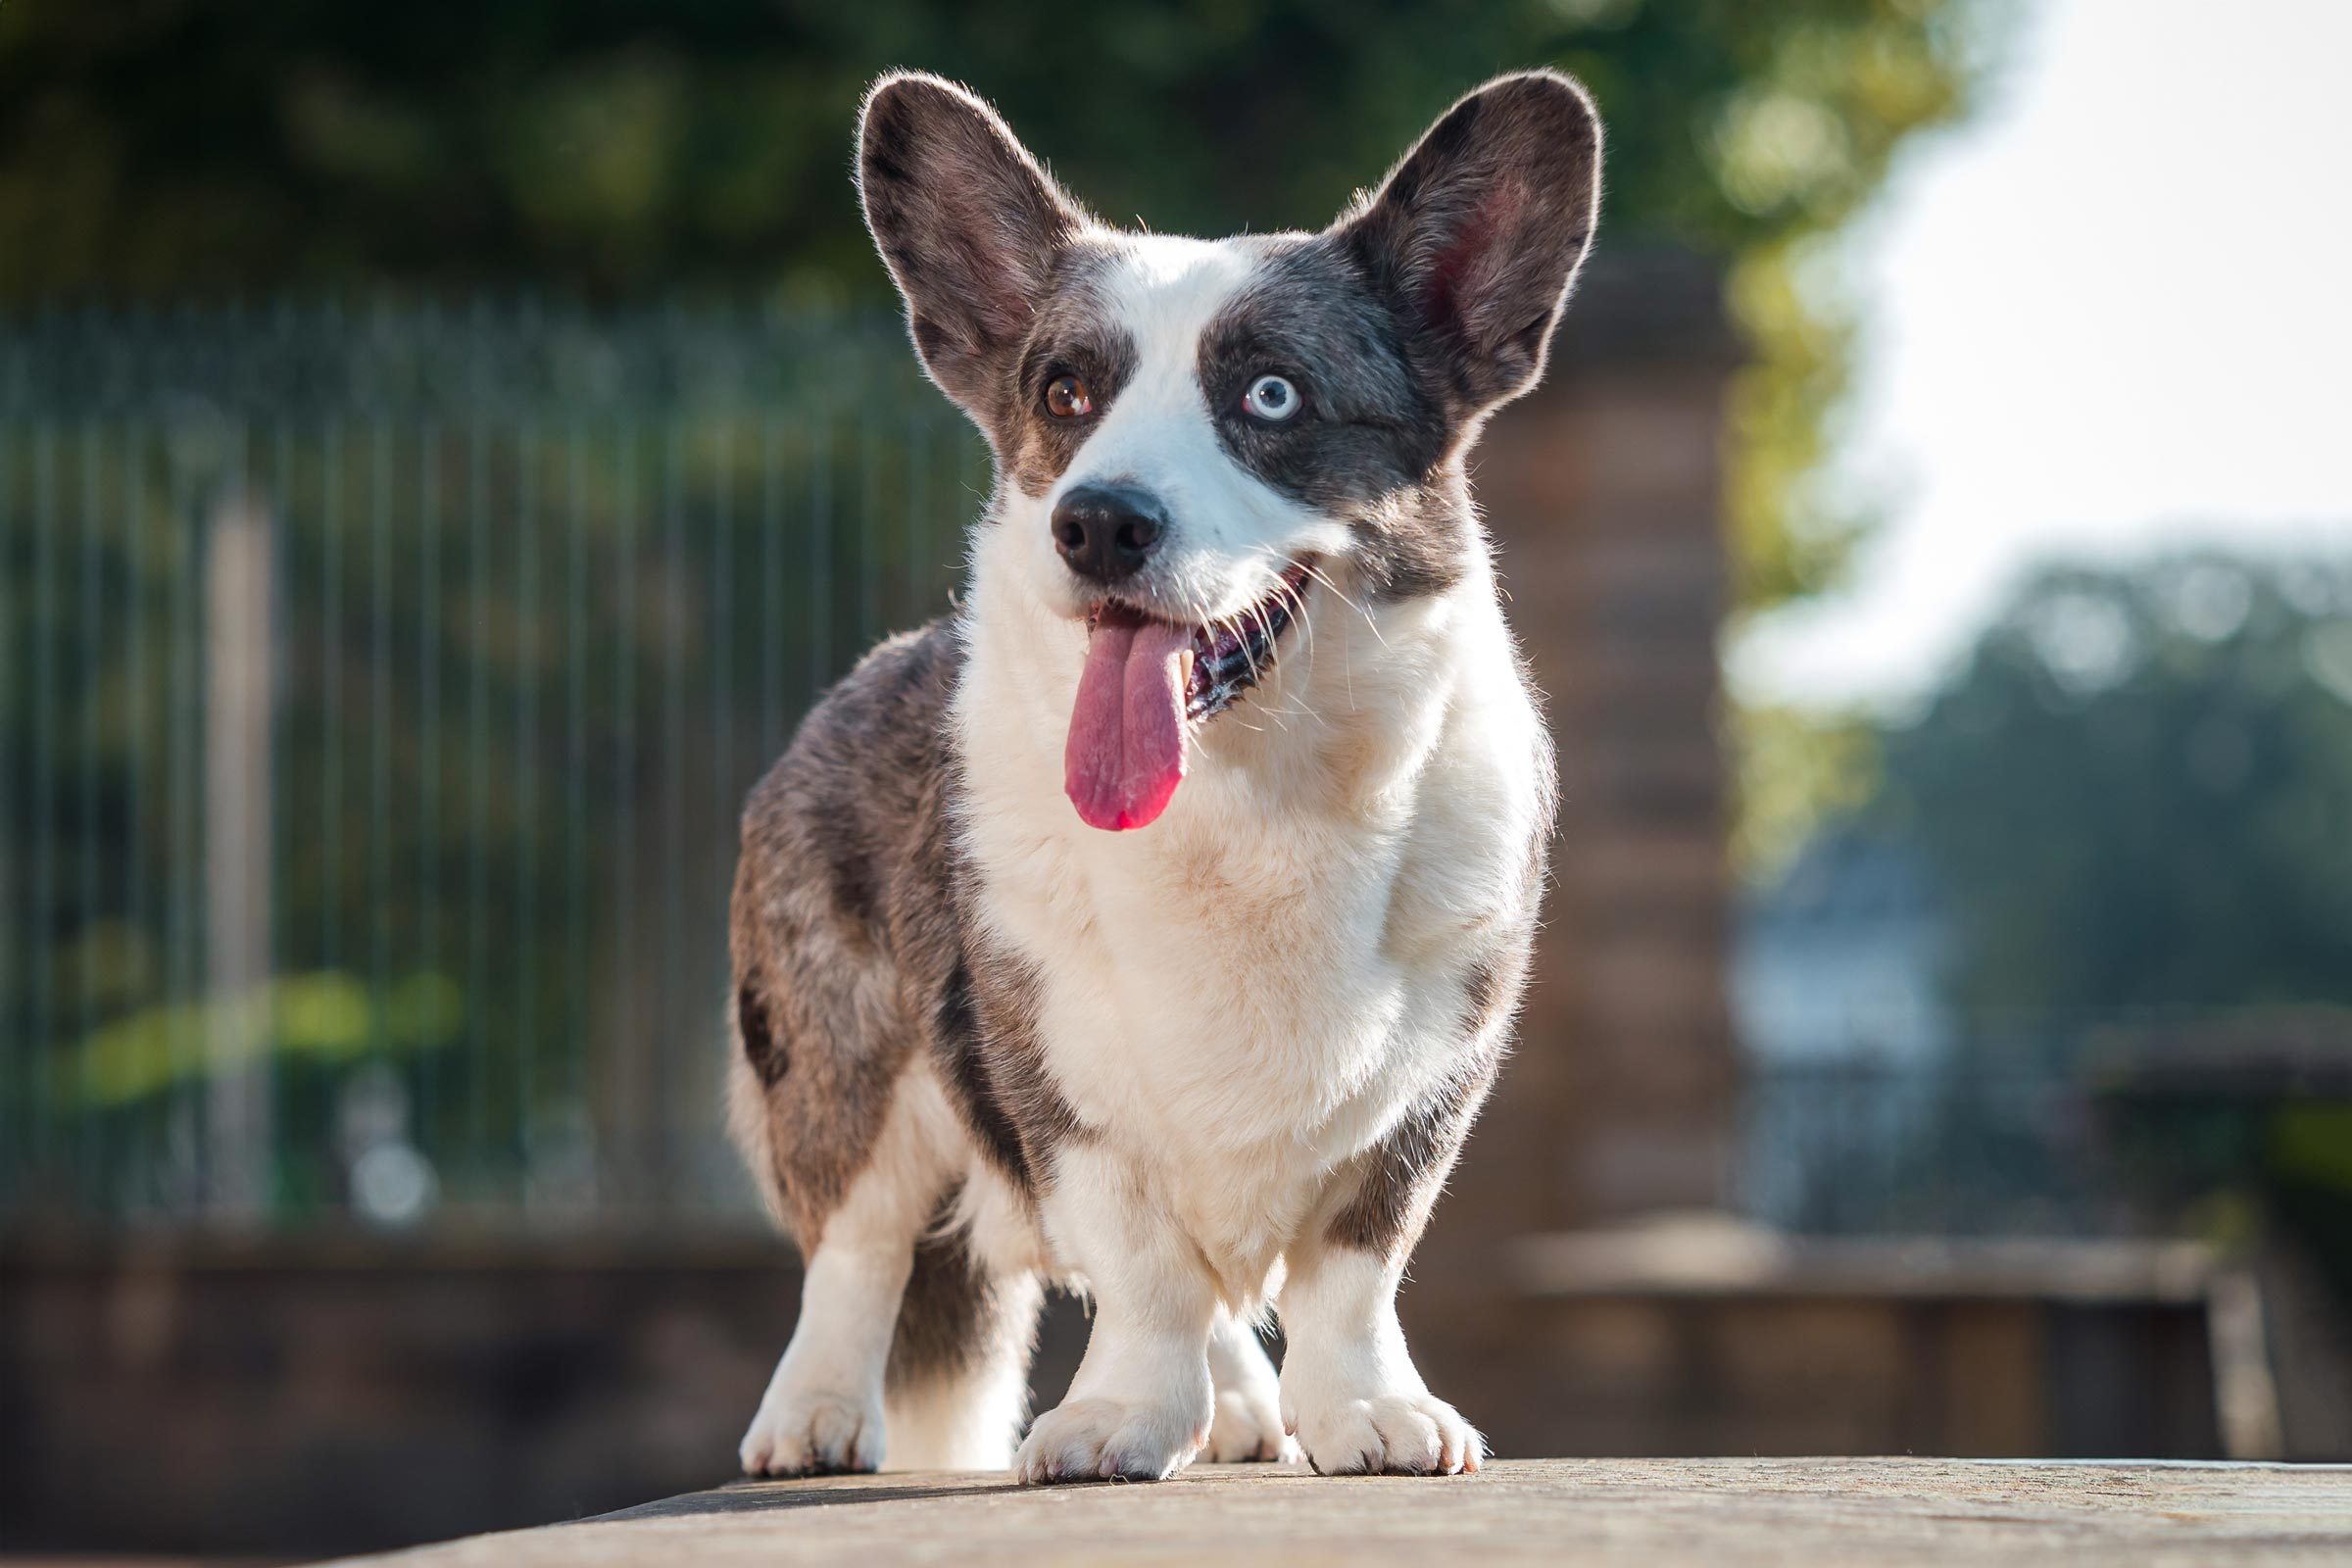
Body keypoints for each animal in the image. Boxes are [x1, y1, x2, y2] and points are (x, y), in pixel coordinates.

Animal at [729, 64, 1599, 1486]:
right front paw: (1117, 1420)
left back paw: (1240, 1410)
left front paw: (1369, 1413)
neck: (1245, 813)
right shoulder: (1054, 1070)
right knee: (855, 1244)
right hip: (838, 1060)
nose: (1099, 522)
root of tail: (867, 672)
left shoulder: (1431, 1076)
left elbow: (1353, 1268)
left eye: (1272, 398)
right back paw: (811, 1418)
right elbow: (1137, 1261)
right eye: (1064, 396)